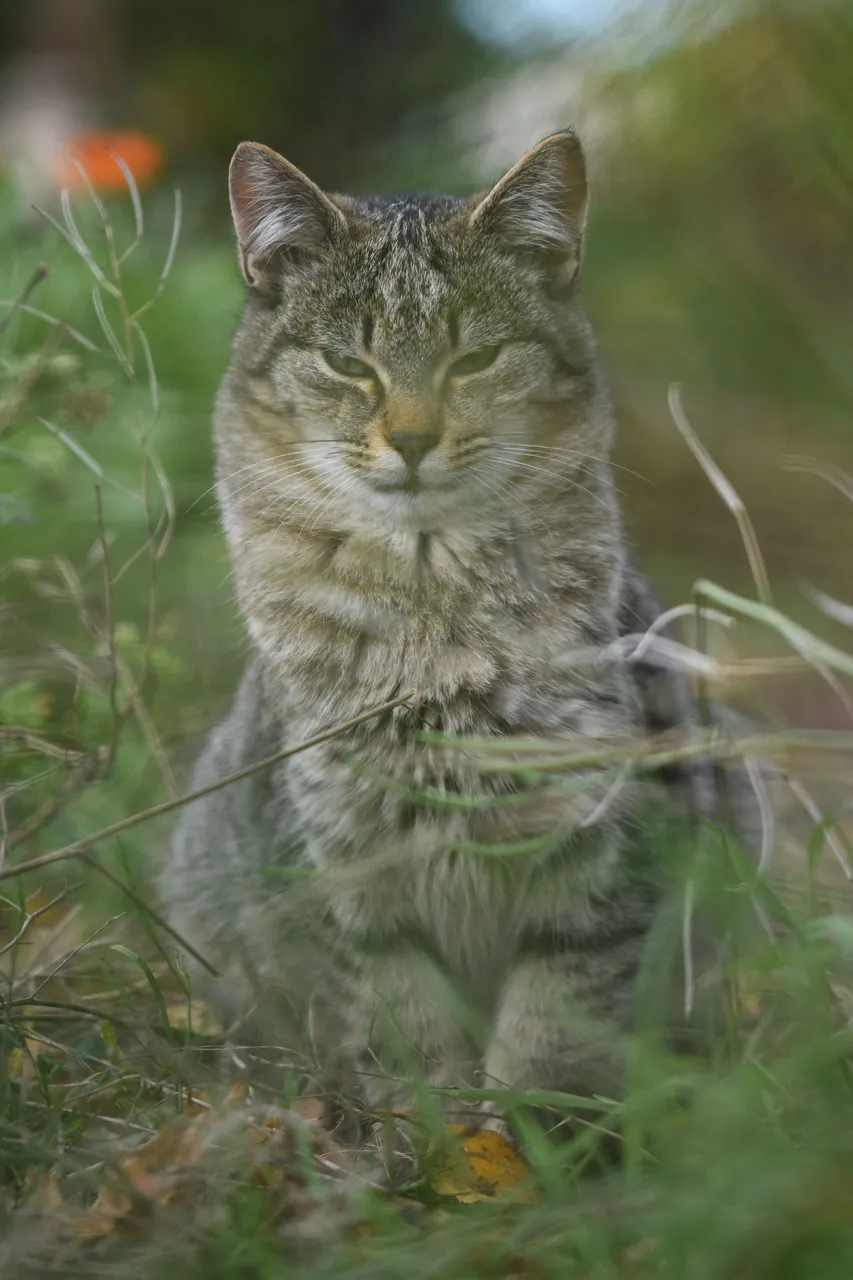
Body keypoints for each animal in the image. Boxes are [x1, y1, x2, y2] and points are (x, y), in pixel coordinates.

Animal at [162, 132, 732, 1141]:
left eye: (476, 358)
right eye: (348, 364)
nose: (413, 438)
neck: (431, 617)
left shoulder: (602, 863)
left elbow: (551, 1034)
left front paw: (518, 1147)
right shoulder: (347, 876)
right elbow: (406, 1030)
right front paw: (434, 1142)